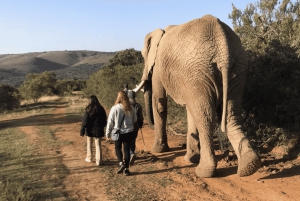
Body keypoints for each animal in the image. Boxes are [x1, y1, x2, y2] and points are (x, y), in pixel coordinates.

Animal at [133, 14, 260, 177]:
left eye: (143, 56)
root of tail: (223, 48)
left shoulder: (159, 68)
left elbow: (160, 104)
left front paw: (159, 150)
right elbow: (190, 109)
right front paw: (191, 158)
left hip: (199, 71)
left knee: (206, 119)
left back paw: (204, 171)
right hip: (237, 68)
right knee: (231, 115)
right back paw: (249, 166)